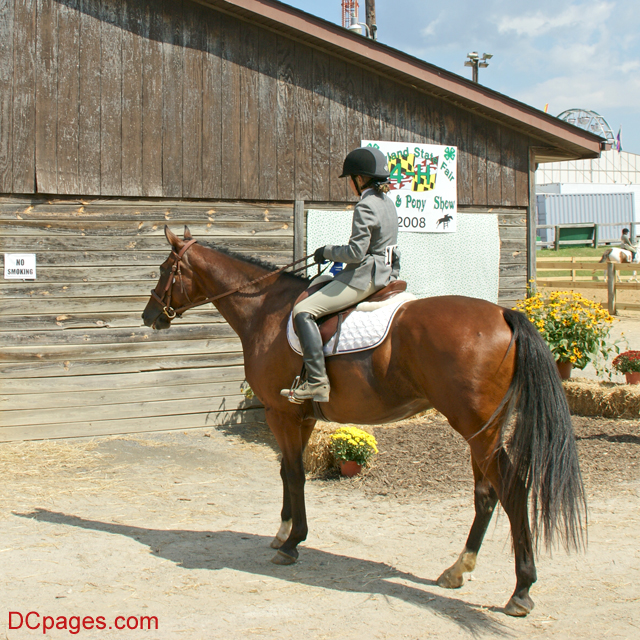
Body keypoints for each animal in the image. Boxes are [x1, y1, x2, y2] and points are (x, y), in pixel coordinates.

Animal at [142, 226, 586, 617]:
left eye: (165, 269)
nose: (150, 315)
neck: (266, 309)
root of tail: (504, 314)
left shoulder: (279, 412)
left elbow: (295, 474)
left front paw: (292, 543)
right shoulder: (301, 416)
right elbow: (288, 472)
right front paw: (283, 532)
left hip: (478, 429)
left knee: (513, 488)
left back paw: (521, 591)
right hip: (481, 431)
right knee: (486, 494)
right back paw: (457, 570)